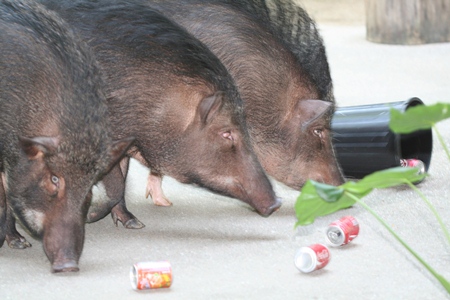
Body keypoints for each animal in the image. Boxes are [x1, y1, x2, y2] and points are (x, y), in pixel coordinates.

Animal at [40, 0, 282, 227]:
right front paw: (91, 216)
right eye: (227, 133)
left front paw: (134, 224)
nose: (277, 203)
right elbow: (115, 183)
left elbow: (121, 180)